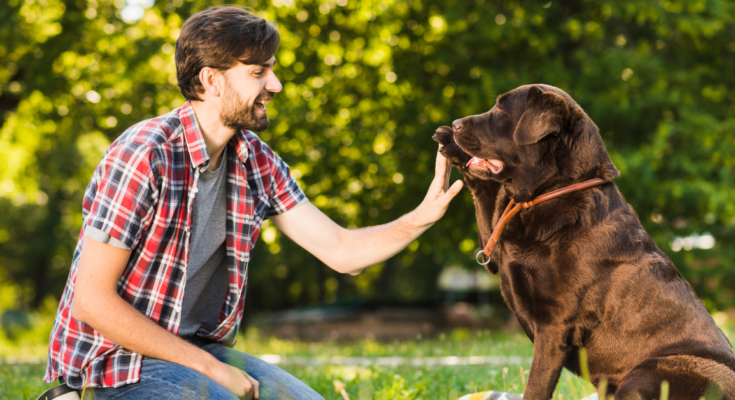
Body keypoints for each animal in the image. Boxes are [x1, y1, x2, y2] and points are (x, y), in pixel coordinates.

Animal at [434, 85, 735, 400]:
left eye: (502, 109)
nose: (455, 123)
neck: (553, 191)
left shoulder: (554, 326)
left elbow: (536, 388)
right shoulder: (496, 251)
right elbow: (482, 191)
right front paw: (451, 144)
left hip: (650, 372)